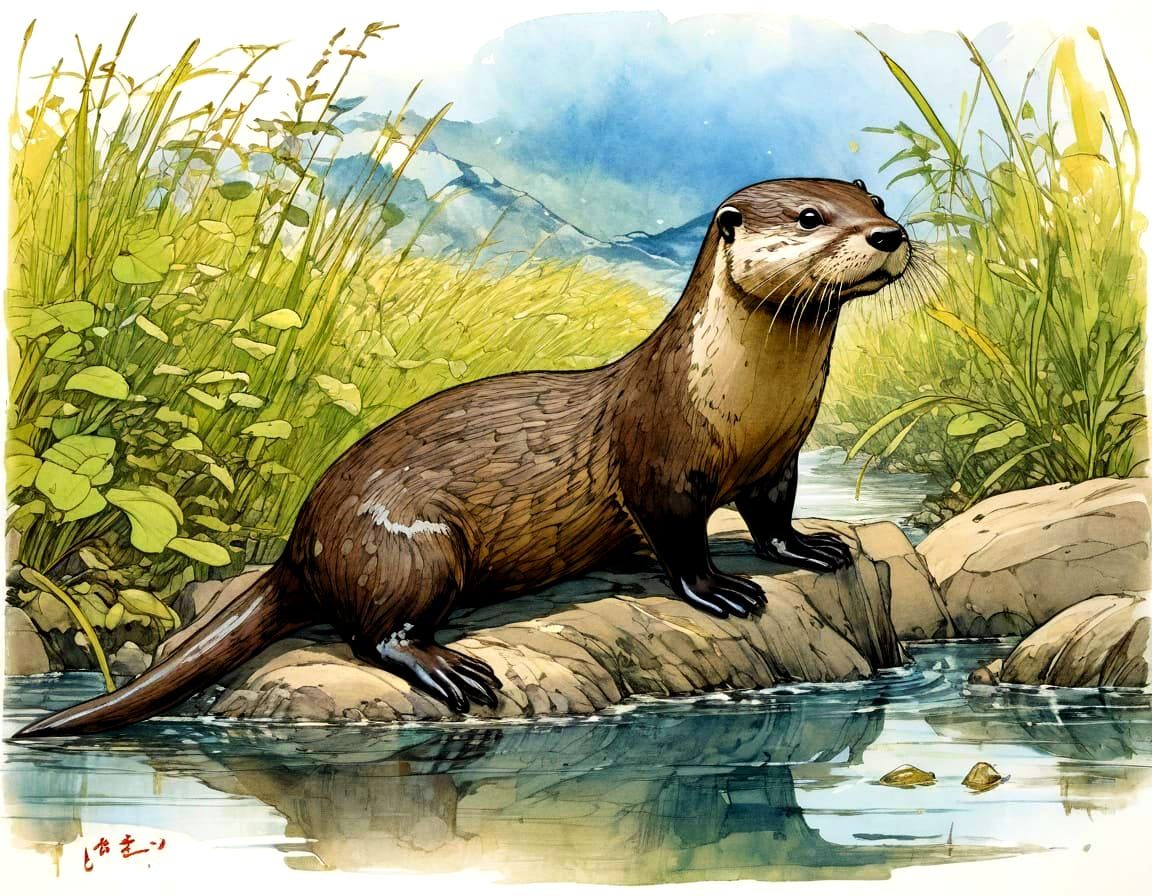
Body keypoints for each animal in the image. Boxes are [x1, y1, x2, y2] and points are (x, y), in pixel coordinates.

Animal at [13, 177, 909, 737]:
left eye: (872, 199)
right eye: (808, 216)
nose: (889, 234)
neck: (741, 403)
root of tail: (303, 542)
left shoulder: (780, 455)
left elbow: (772, 516)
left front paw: (810, 549)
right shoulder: (658, 466)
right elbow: (679, 542)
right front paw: (720, 590)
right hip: (417, 547)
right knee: (371, 635)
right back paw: (449, 668)